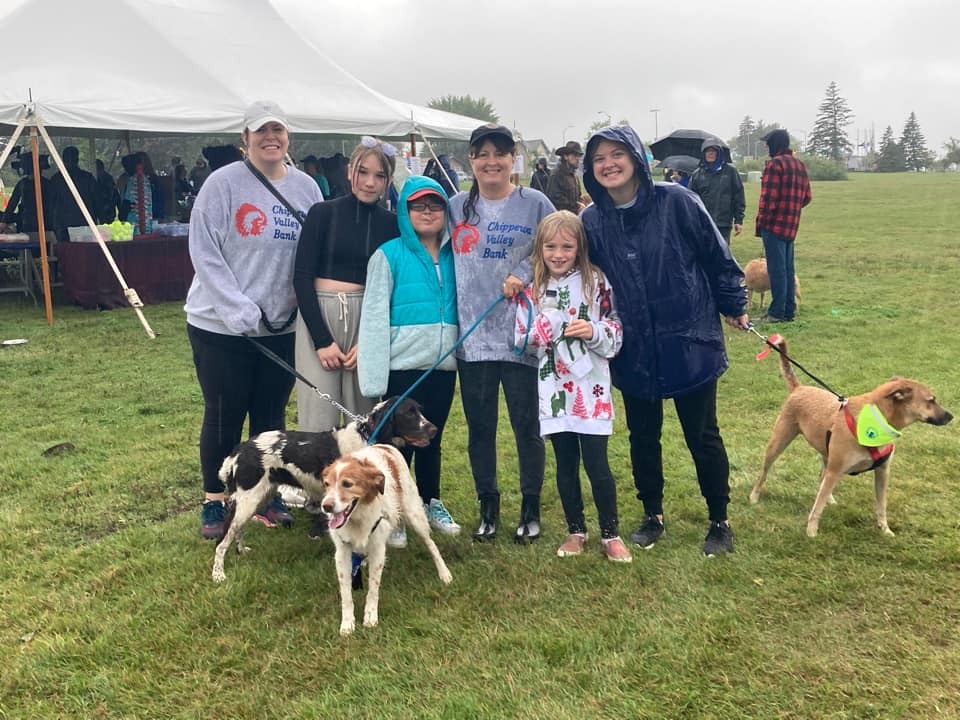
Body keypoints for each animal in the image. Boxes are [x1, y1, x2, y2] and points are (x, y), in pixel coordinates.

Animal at [211, 397, 436, 583]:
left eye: (419, 410)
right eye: (409, 413)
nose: (434, 429)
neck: (367, 437)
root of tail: (241, 449)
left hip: (258, 499)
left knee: (237, 529)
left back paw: (241, 551)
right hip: (248, 500)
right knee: (222, 540)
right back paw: (218, 574)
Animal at [321, 444, 453, 635]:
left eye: (347, 484)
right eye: (327, 484)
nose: (326, 506)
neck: (358, 517)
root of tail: (384, 445)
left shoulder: (378, 548)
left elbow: (373, 588)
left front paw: (370, 617)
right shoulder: (342, 551)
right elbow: (346, 592)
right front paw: (347, 623)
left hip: (414, 514)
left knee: (431, 544)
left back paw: (444, 573)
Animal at [749, 336, 953, 537]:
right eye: (931, 400)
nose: (951, 416)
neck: (874, 420)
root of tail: (798, 388)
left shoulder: (882, 471)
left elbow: (881, 505)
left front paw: (885, 529)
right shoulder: (835, 470)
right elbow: (817, 507)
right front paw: (811, 532)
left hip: (826, 453)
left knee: (822, 477)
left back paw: (830, 499)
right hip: (778, 443)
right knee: (764, 473)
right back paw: (754, 496)